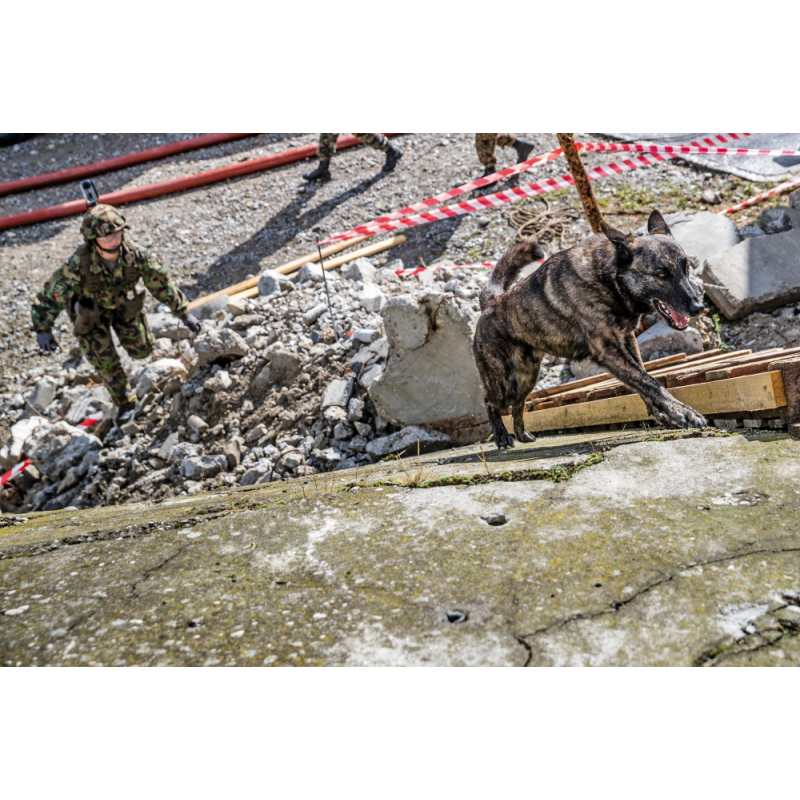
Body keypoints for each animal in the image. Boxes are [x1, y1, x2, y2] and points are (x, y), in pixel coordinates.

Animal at [476, 209, 708, 446]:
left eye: (686, 269)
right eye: (661, 273)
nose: (699, 307)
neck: (609, 279)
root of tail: (491, 302)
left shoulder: (627, 341)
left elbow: (642, 378)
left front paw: (662, 414)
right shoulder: (608, 351)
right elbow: (650, 382)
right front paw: (681, 411)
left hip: (526, 379)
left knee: (518, 404)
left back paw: (522, 434)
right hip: (505, 383)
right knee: (489, 401)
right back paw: (502, 436)